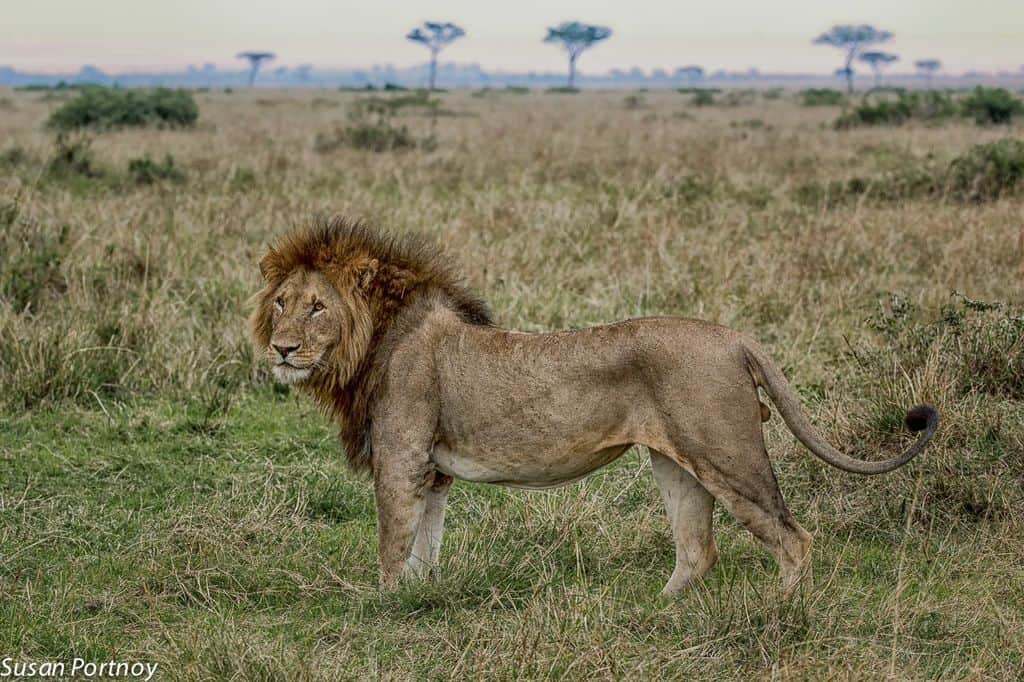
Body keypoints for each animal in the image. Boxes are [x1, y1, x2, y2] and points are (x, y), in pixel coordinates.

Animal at [247, 219, 937, 593]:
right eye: (281, 302)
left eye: (317, 308)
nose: (283, 349)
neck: (374, 341)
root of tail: (734, 337)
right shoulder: (432, 469)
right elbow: (424, 544)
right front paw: (417, 599)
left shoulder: (401, 456)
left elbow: (393, 542)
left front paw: (385, 604)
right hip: (677, 463)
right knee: (698, 550)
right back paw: (659, 611)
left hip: (729, 454)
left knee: (794, 540)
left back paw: (781, 613)